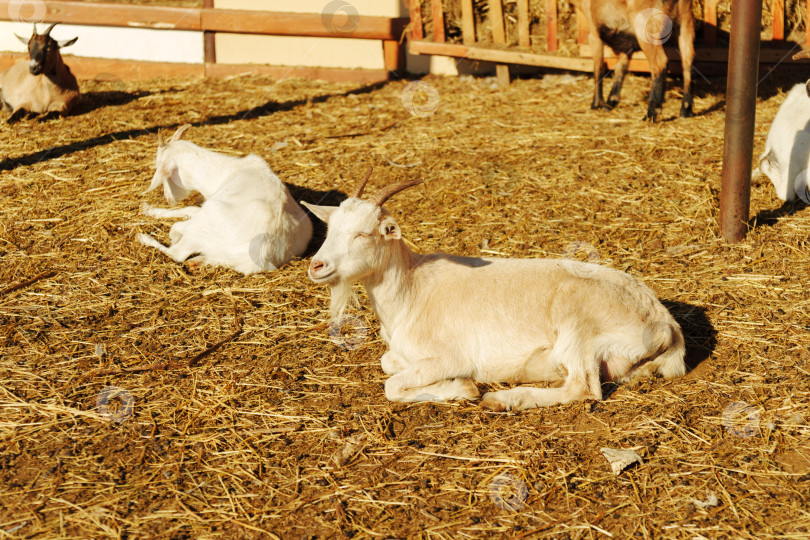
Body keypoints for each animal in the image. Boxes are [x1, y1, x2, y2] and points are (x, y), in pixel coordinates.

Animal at [137, 125, 313, 275]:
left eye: (159, 167)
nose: (168, 199)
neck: (226, 173)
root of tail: (262, 257)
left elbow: (179, 224)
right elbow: (190, 209)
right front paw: (148, 209)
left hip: (209, 217)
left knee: (176, 253)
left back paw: (144, 238)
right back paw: (196, 261)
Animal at [302, 175, 686, 411]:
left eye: (364, 234)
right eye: (331, 228)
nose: (317, 266)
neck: (413, 291)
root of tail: (666, 325)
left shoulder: (450, 356)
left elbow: (392, 387)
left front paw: (462, 388)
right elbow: (387, 363)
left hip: (578, 325)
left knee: (583, 387)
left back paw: (503, 400)